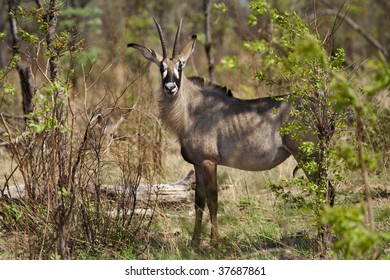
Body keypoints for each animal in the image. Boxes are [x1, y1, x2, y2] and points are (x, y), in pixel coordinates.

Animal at [126, 18, 334, 249]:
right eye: (161, 67)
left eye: (181, 65)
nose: (170, 87)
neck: (192, 110)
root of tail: (319, 108)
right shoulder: (198, 164)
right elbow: (198, 202)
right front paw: (194, 243)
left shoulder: (210, 162)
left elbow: (213, 200)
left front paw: (214, 243)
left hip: (308, 155)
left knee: (326, 190)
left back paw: (323, 240)